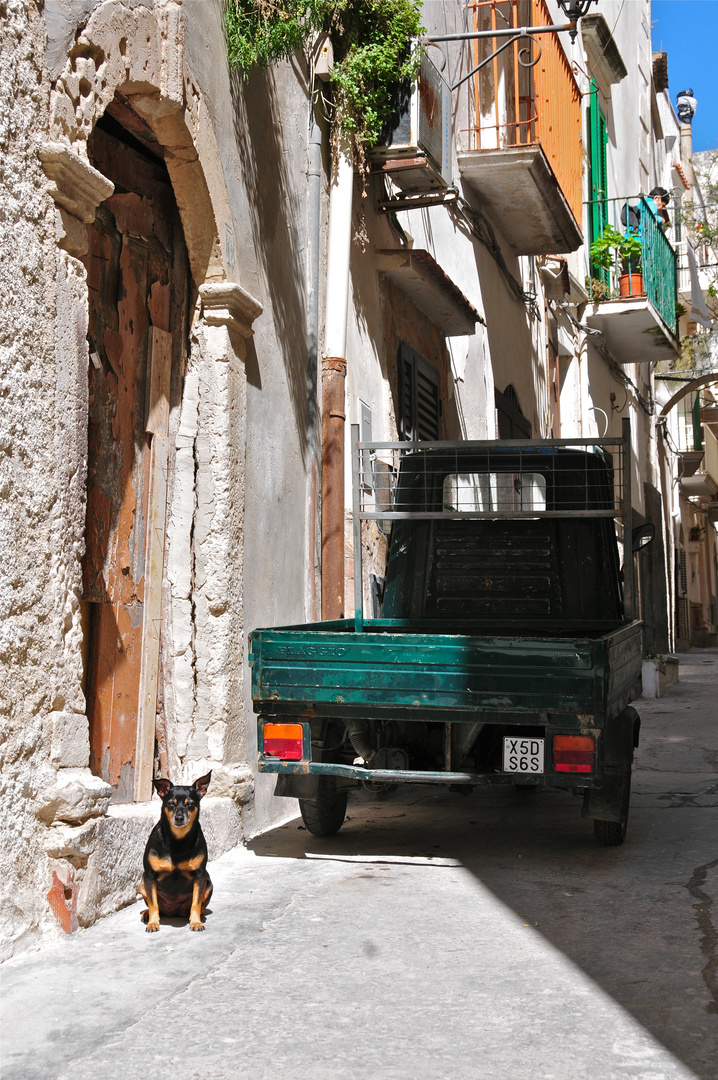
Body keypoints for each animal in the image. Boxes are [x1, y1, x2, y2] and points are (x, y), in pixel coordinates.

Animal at [139, 773, 211, 933]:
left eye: (190, 804)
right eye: (171, 804)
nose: (179, 818)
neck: (178, 839)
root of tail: (172, 912)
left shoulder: (200, 874)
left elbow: (196, 902)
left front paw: (196, 922)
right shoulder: (149, 874)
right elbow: (153, 904)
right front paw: (153, 923)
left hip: (209, 883)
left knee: (200, 905)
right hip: (141, 884)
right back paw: (147, 914)